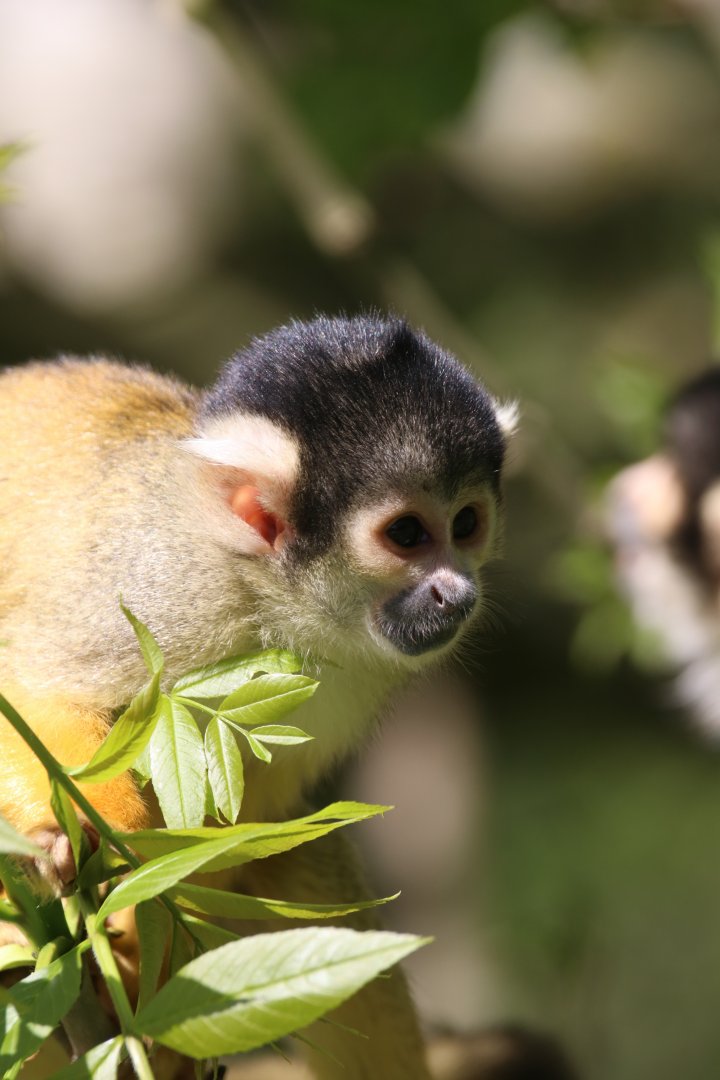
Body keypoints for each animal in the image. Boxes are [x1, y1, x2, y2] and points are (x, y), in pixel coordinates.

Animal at [0, 313, 518, 1078]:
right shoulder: (163, 588)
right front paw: (72, 839)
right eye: (406, 533)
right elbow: (33, 683)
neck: (267, 596)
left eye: (466, 524)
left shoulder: (352, 674)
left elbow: (249, 833)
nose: (458, 592)